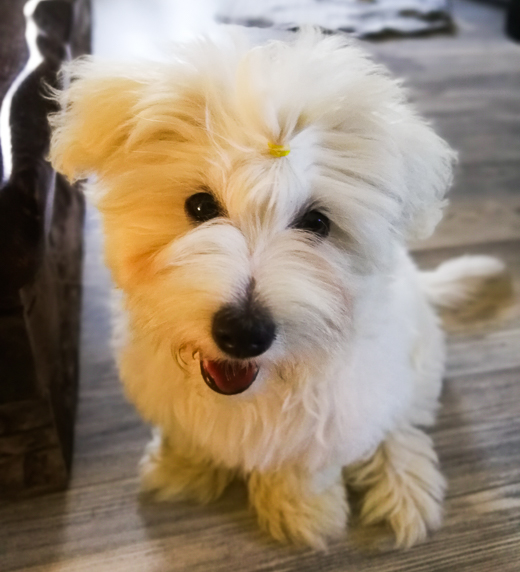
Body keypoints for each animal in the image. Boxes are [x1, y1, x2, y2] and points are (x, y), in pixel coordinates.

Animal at [48, 30, 504, 548]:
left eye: (317, 223)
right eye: (200, 206)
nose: (244, 333)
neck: (250, 388)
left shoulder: (329, 418)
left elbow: (304, 464)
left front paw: (301, 511)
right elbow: (186, 434)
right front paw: (182, 470)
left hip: (415, 364)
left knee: (403, 423)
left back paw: (402, 486)